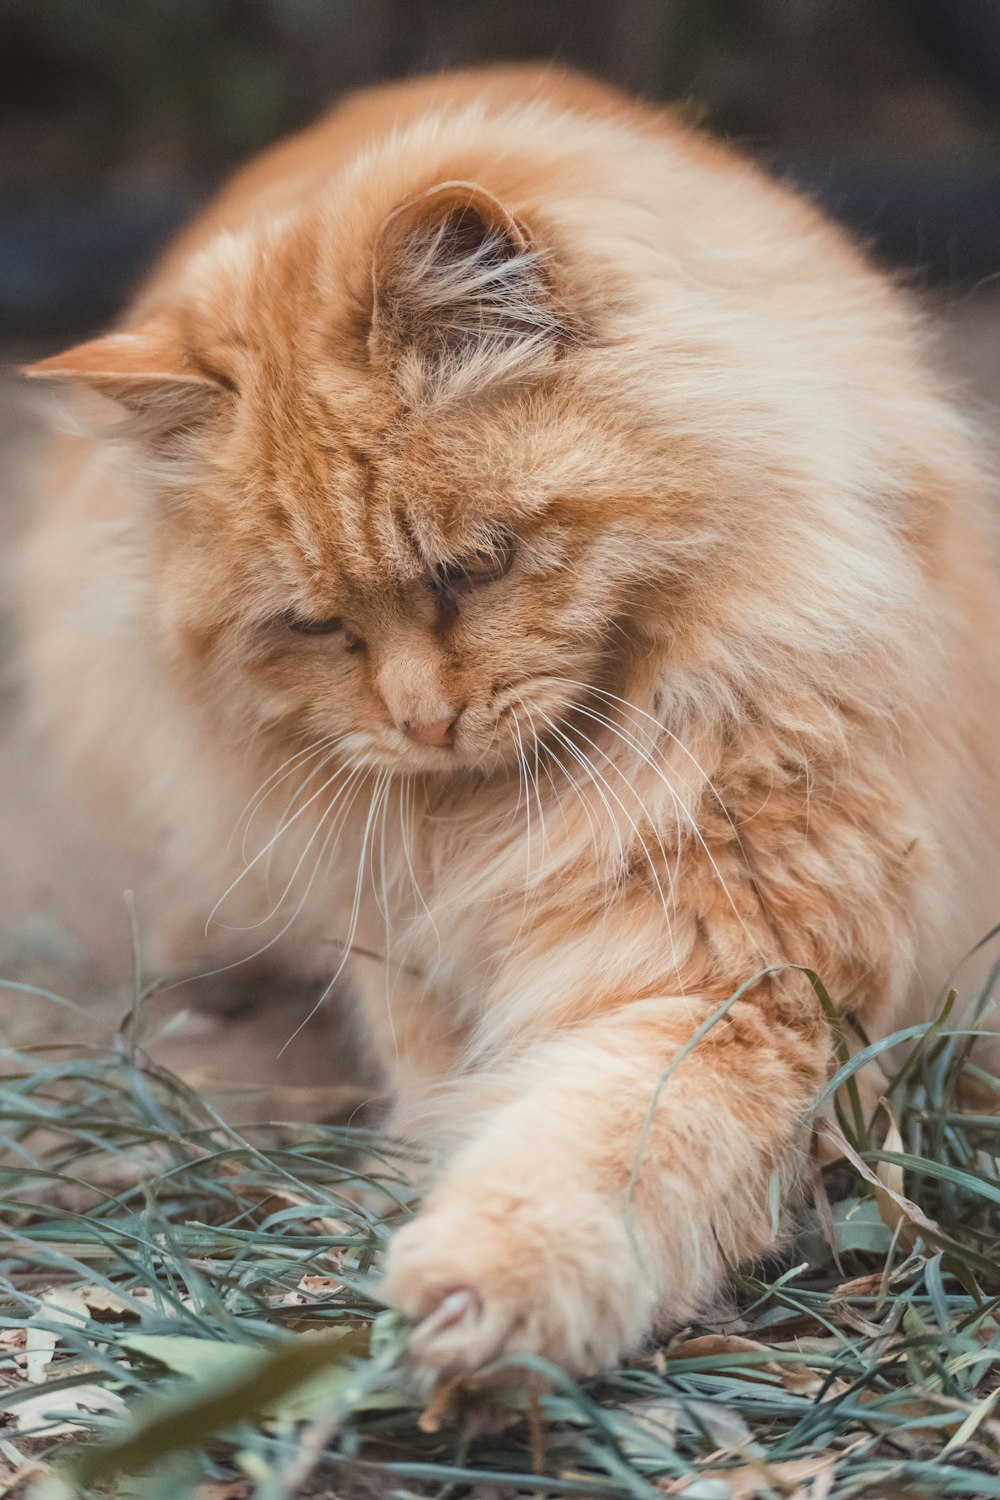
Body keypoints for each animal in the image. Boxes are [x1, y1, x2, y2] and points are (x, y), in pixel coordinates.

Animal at [19, 70, 1000, 1374]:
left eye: (472, 568)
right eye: (315, 626)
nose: (424, 723)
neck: (505, 818)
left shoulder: (740, 975)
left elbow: (601, 1146)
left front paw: (486, 1290)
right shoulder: (392, 926)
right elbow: (458, 1086)